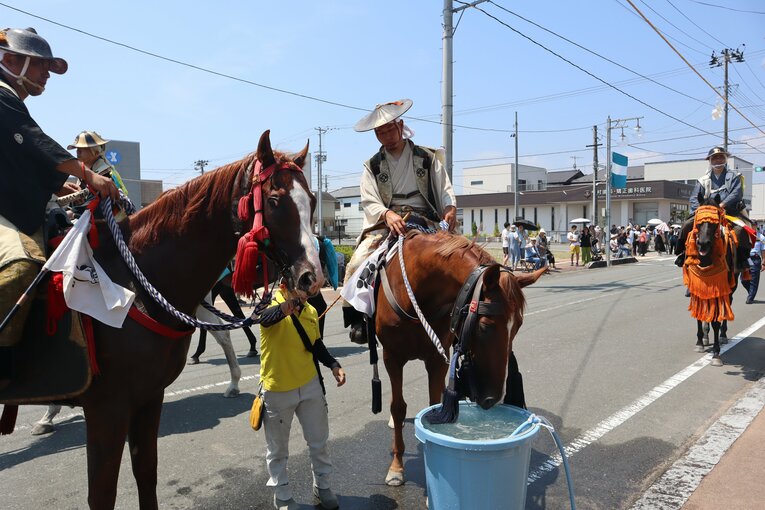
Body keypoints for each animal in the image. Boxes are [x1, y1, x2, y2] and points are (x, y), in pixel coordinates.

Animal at [4, 130, 324, 509]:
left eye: (313, 201)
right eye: (274, 201)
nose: (311, 276)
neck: (133, 285)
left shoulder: (126, 402)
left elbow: (131, 480)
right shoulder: (119, 404)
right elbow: (122, 483)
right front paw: (48, 415)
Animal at [372, 230, 544, 485]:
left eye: (518, 326)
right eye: (484, 326)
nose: (494, 399)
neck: (414, 293)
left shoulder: (436, 358)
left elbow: (433, 403)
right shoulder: (392, 357)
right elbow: (397, 406)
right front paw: (396, 467)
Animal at [683, 195, 751, 366]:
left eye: (715, 222)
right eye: (698, 221)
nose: (703, 244)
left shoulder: (720, 287)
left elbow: (716, 319)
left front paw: (716, 353)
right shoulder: (697, 286)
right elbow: (700, 313)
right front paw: (700, 342)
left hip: (732, 285)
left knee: (727, 306)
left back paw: (723, 335)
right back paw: (707, 336)